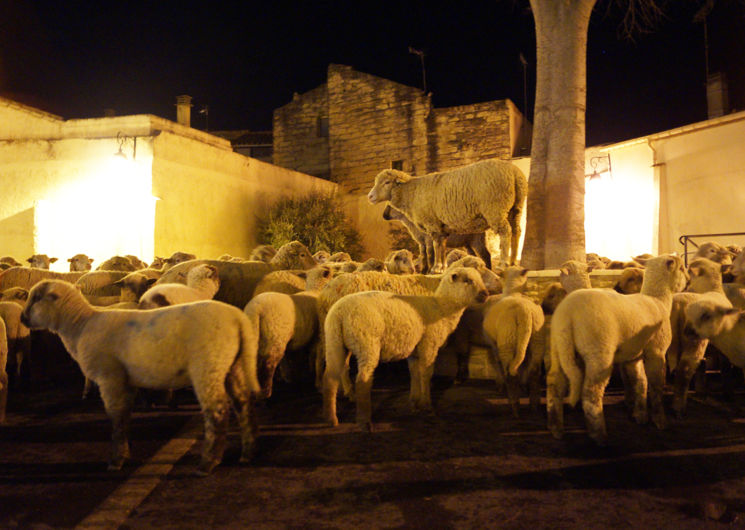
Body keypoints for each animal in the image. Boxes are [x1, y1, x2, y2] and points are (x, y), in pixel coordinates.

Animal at [21, 278, 262, 472]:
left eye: (36, 298)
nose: (23, 319)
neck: (80, 324)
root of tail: (237, 318)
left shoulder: (110, 376)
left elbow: (116, 418)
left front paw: (115, 461)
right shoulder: (124, 381)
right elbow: (124, 416)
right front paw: (124, 452)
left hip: (208, 365)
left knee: (218, 411)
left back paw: (208, 463)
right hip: (232, 365)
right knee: (244, 404)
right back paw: (247, 454)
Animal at [322, 264, 488, 428]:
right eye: (467, 280)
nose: (485, 294)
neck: (441, 307)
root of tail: (340, 312)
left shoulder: (414, 350)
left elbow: (414, 373)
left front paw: (414, 402)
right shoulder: (429, 345)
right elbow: (426, 373)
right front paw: (427, 405)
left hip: (334, 341)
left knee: (330, 378)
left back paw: (332, 418)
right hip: (366, 345)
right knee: (362, 380)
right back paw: (364, 420)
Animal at [370, 158, 528, 270]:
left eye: (387, 182)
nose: (370, 196)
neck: (412, 193)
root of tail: (514, 172)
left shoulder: (432, 224)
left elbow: (435, 247)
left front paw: (435, 268)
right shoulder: (441, 227)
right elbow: (442, 246)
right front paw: (442, 267)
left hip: (496, 208)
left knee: (505, 232)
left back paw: (503, 263)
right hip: (516, 207)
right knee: (516, 231)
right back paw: (513, 262)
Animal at [544, 254, 688, 444]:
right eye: (682, 268)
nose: (688, 280)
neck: (658, 301)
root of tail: (568, 313)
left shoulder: (633, 355)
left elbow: (640, 382)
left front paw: (640, 415)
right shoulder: (657, 351)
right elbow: (656, 385)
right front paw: (660, 420)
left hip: (559, 347)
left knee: (555, 382)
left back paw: (555, 428)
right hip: (599, 352)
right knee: (591, 392)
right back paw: (599, 435)